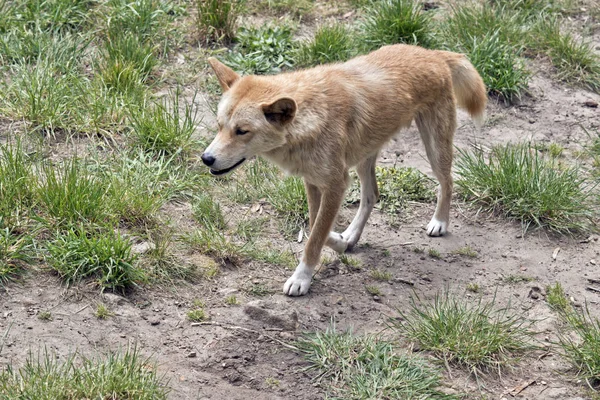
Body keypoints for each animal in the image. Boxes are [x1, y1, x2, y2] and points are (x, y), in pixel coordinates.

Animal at [203, 44, 488, 296]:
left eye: (242, 131)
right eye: (219, 125)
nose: (206, 158)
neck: (310, 117)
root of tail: (433, 53)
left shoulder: (335, 184)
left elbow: (315, 236)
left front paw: (301, 278)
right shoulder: (315, 182)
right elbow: (317, 227)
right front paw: (340, 242)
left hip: (434, 150)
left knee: (447, 183)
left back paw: (439, 222)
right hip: (364, 159)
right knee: (372, 195)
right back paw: (351, 234)